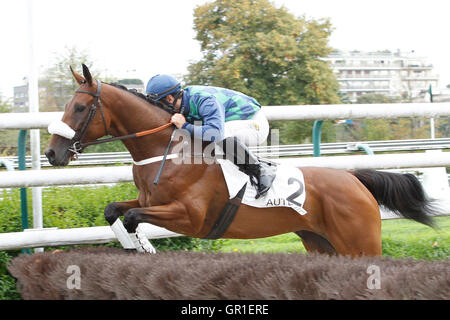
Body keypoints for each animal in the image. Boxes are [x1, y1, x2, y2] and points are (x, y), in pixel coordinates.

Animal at [45, 65, 436, 258]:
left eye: (80, 107)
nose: (52, 153)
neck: (166, 152)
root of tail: (354, 178)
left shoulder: (190, 216)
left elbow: (131, 217)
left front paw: (143, 247)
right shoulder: (146, 200)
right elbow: (115, 210)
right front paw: (136, 247)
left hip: (361, 243)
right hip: (321, 243)